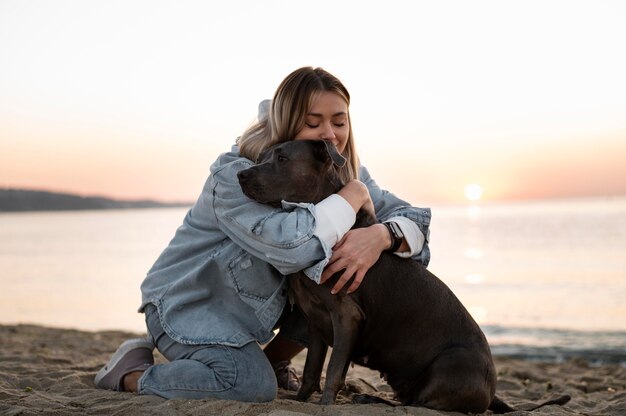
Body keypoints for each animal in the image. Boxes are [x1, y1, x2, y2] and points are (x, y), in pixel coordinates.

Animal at [236, 141, 568, 412]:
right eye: (263, 156)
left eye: (281, 158)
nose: (241, 175)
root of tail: (493, 391)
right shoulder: (315, 323)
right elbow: (310, 372)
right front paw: (302, 401)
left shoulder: (346, 317)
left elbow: (333, 372)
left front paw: (326, 404)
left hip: (449, 364)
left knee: (418, 404)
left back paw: (369, 398)